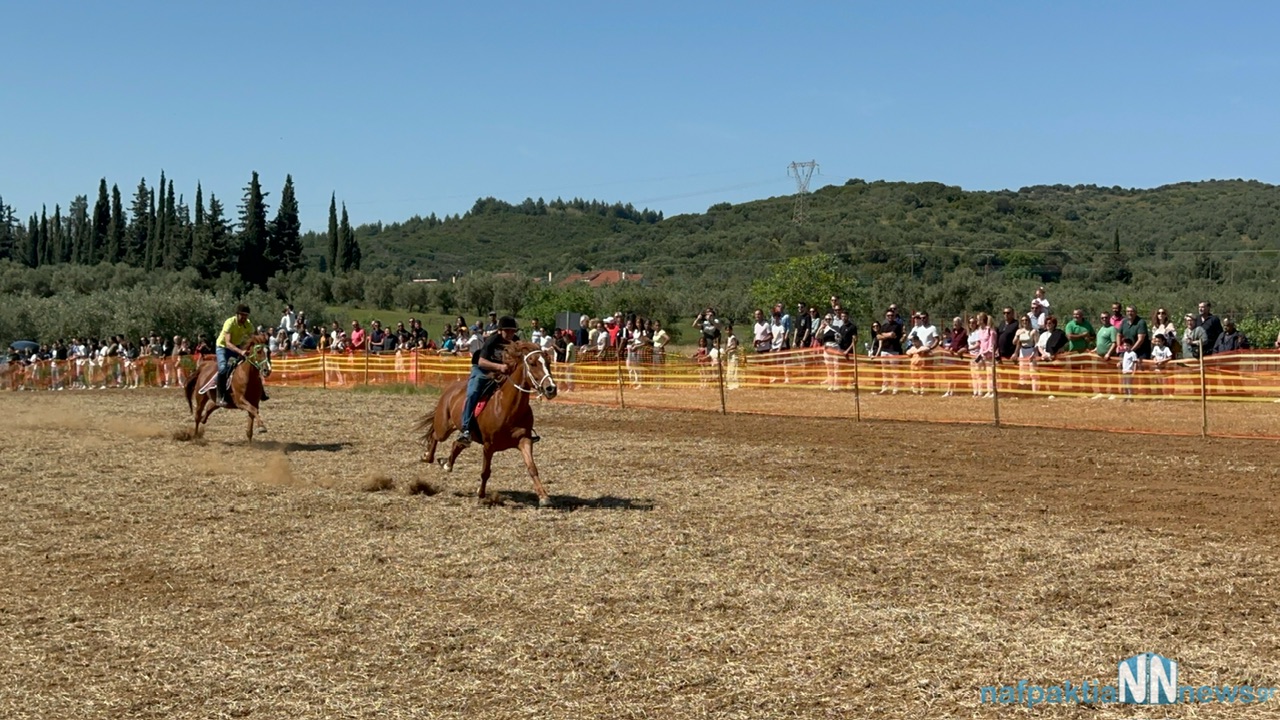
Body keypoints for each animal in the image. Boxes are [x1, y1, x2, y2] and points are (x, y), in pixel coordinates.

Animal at [417, 340, 558, 504]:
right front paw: (481, 494)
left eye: (548, 362)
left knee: (457, 443)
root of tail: (450, 389)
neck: (507, 407)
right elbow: (485, 471)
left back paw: (447, 464)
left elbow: (532, 468)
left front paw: (544, 496)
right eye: (532, 362)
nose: (551, 388)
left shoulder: (525, 440)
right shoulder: (488, 445)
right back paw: (427, 456)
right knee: (435, 436)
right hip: (443, 428)